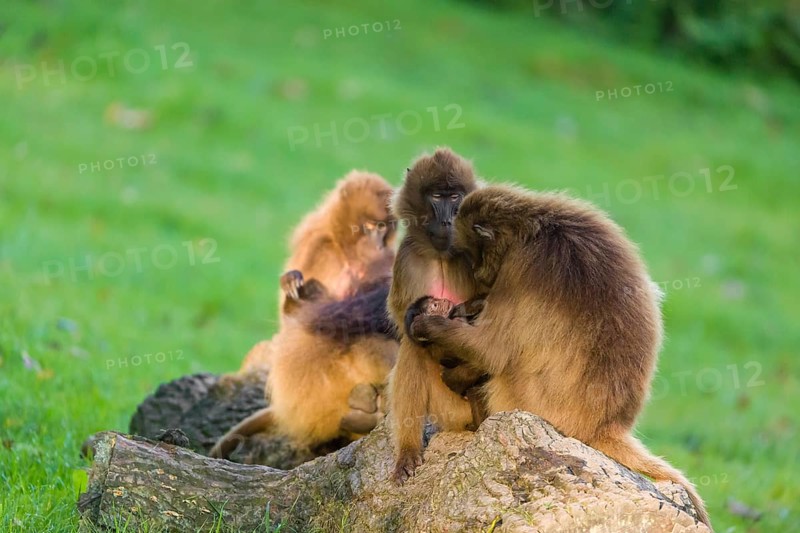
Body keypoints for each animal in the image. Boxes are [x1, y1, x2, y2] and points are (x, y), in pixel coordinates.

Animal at [386, 147, 486, 484]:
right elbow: (408, 326)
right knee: (413, 347)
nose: (448, 218)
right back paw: (408, 450)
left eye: (455, 196)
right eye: (437, 196)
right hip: (452, 413)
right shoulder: (406, 258)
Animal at [407, 185, 711, 528]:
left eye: (473, 254)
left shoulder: (520, 265)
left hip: (527, 401)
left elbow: (491, 352)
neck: (531, 228)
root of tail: (605, 425)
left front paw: (431, 327)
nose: (477, 273)